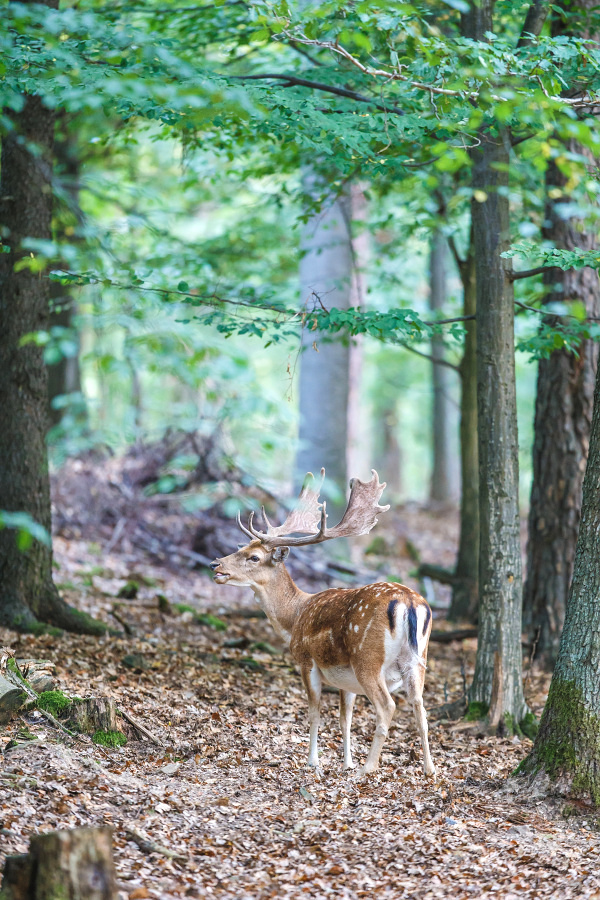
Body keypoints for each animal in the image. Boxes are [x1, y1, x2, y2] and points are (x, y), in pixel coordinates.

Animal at [212, 474, 436, 776]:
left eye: (254, 557)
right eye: (242, 547)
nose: (215, 566)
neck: (294, 616)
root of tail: (410, 602)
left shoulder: (306, 661)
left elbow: (314, 713)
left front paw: (313, 762)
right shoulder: (345, 680)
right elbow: (345, 719)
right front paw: (346, 763)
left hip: (367, 658)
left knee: (387, 706)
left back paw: (368, 768)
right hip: (418, 659)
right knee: (421, 708)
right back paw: (429, 769)